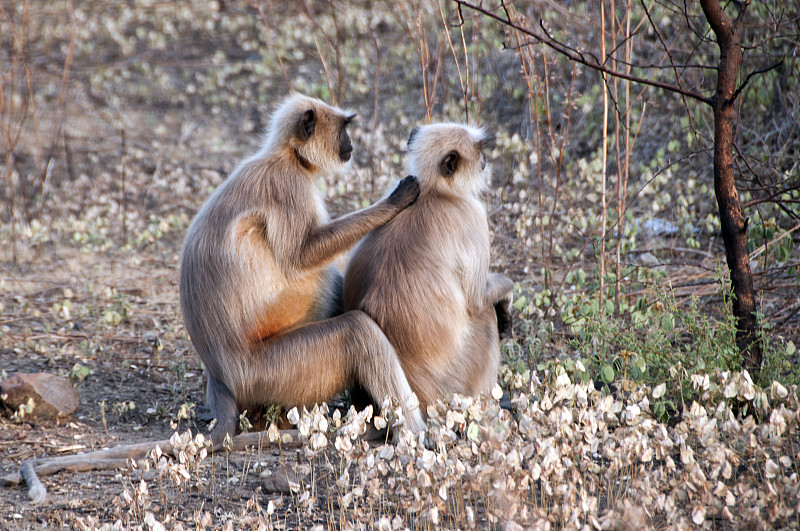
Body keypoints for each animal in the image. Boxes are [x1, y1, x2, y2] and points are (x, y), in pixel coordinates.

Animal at [180, 92, 428, 444]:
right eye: (344, 129)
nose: (350, 145)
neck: (288, 156)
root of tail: (221, 379)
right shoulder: (290, 186)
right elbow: (302, 257)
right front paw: (393, 201)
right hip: (271, 372)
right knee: (356, 330)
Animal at [342, 123, 512, 416]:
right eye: (479, 150)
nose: (484, 161)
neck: (435, 192)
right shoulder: (472, 216)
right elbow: (477, 298)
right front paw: (506, 297)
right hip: (457, 383)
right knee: (485, 317)